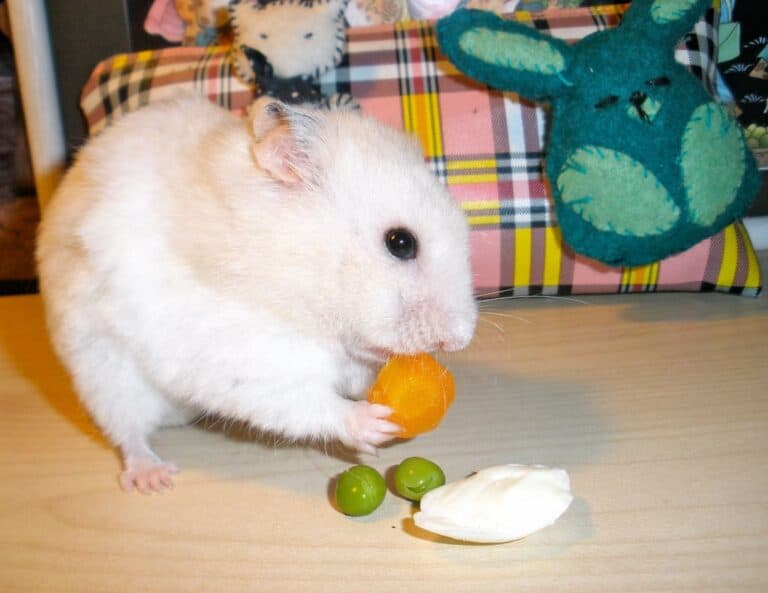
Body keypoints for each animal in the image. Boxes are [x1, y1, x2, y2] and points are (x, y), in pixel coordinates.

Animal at [36, 96, 477, 493]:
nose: (460, 338)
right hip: (104, 369)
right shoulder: (243, 354)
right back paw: (154, 478)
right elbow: (302, 399)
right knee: (128, 431)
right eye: (400, 242)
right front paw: (373, 425)